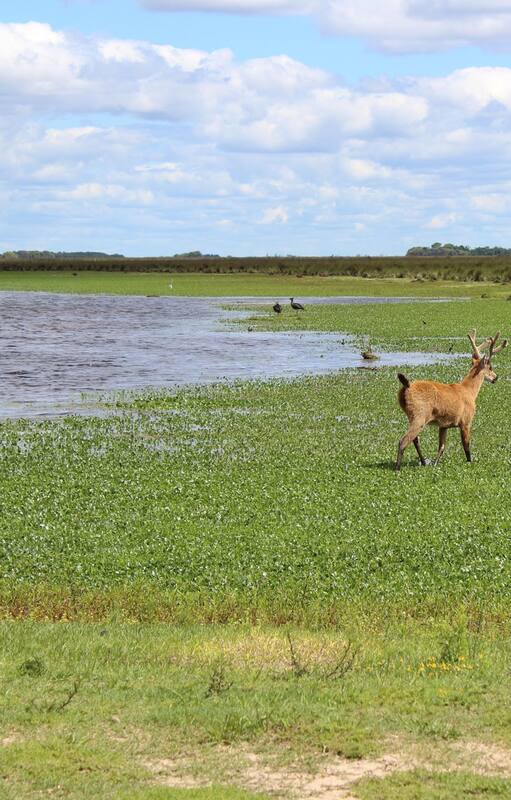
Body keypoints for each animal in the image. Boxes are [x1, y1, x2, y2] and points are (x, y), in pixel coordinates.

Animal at [395, 329, 507, 471]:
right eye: (490, 367)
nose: (496, 377)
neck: (469, 392)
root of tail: (407, 386)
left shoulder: (444, 425)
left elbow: (441, 447)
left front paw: (435, 463)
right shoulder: (466, 421)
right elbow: (466, 446)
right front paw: (470, 462)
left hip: (412, 415)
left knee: (415, 440)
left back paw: (424, 462)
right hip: (420, 414)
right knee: (403, 441)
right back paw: (397, 468)